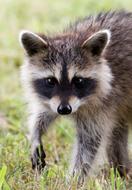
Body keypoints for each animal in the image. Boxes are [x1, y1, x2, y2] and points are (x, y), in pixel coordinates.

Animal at [19, 11, 132, 179]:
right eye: (50, 81)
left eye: (78, 80)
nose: (64, 110)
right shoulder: (54, 100)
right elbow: (45, 112)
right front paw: (35, 133)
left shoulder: (103, 104)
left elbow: (89, 144)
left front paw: (74, 179)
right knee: (117, 135)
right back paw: (121, 171)